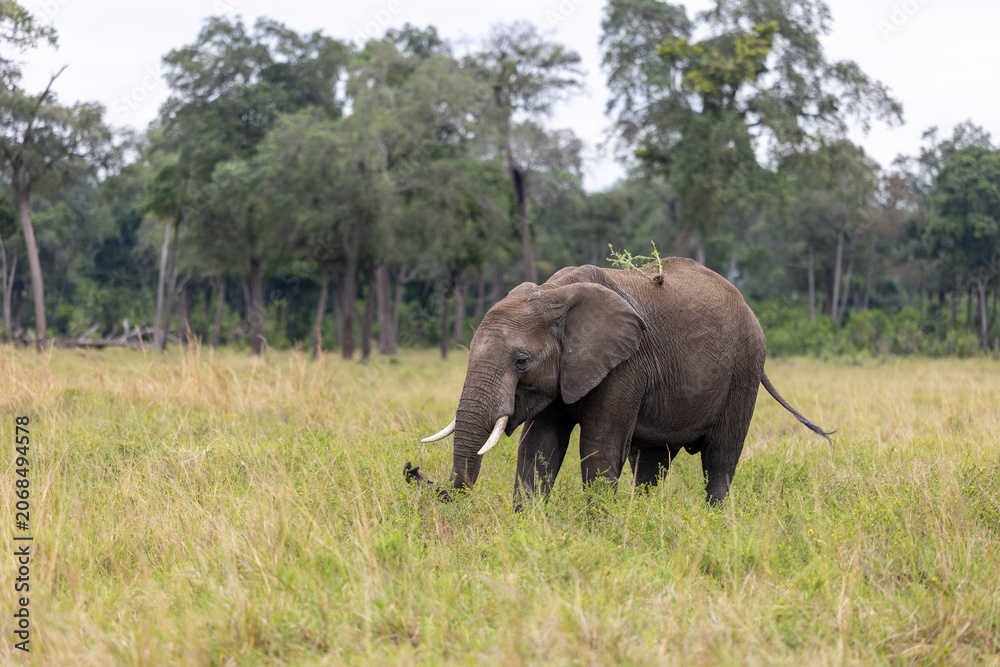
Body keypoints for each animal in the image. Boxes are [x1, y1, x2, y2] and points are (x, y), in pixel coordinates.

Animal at [404, 259, 831, 505]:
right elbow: (539, 448)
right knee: (653, 463)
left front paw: (599, 532)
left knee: (720, 460)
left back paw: (717, 521)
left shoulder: (627, 364)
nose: (412, 470)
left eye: (521, 361)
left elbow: (600, 448)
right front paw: (527, 524)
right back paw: (642, 516)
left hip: (743, 369)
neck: (555, 294)